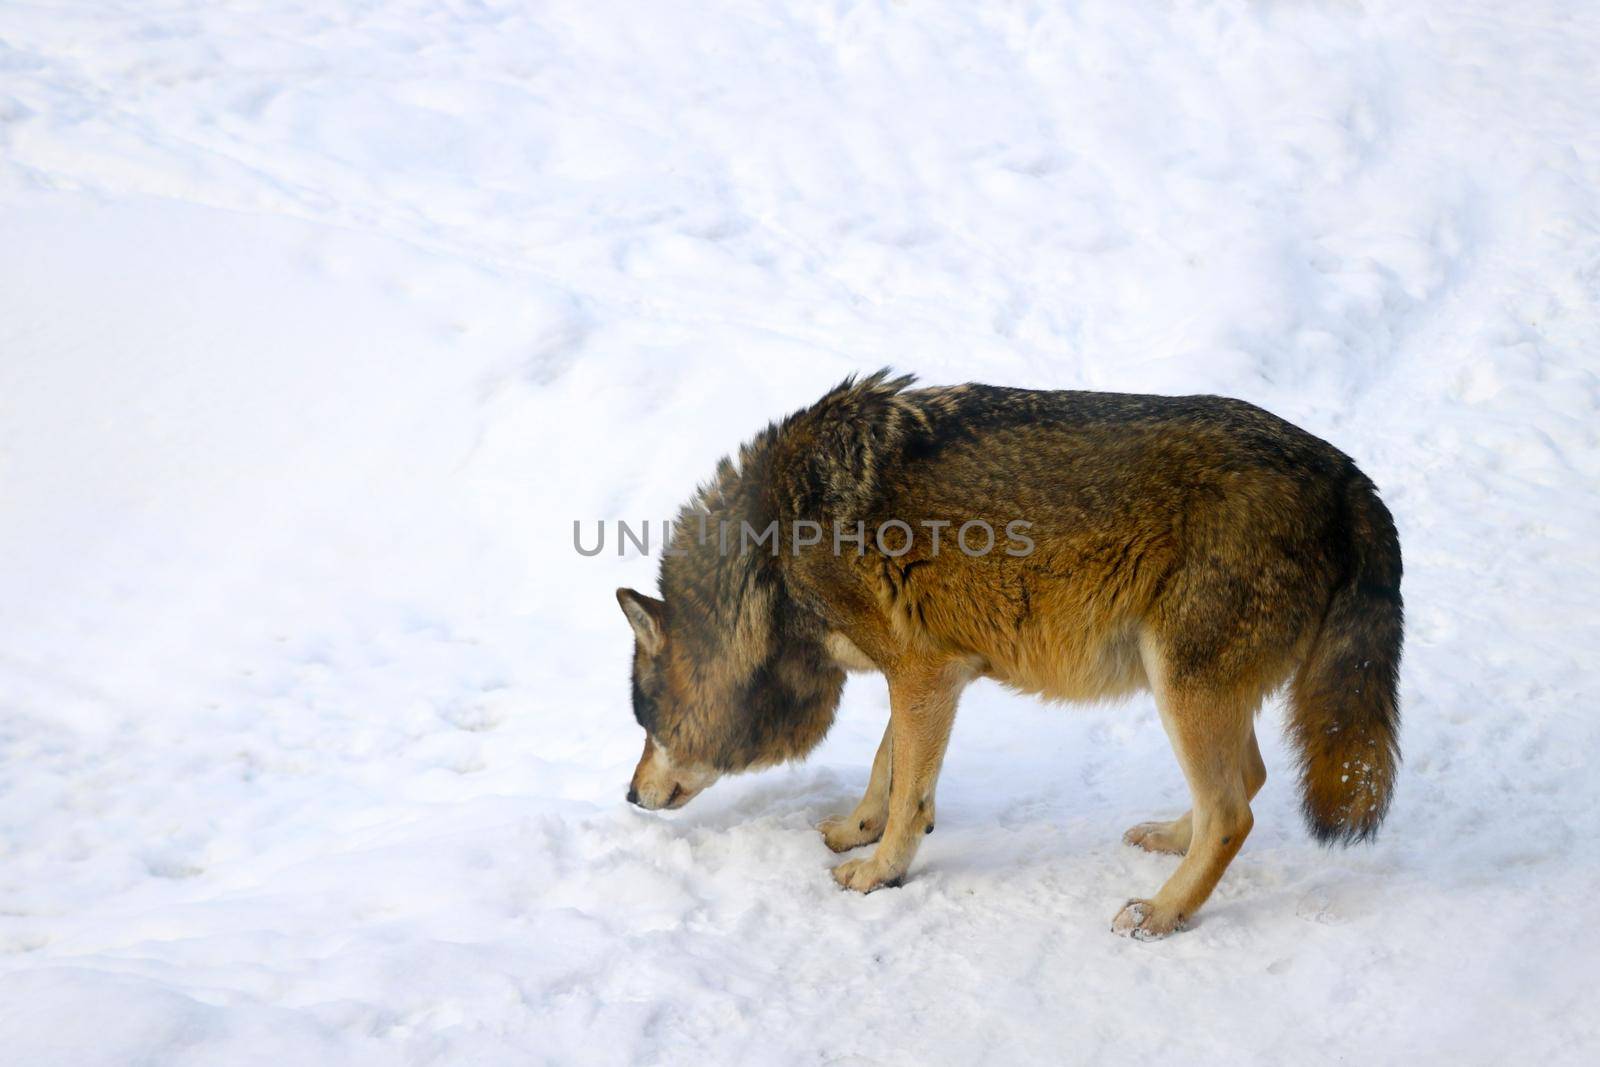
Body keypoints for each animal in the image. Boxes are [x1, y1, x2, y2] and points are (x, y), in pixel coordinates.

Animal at [611, 371, 1401, 940]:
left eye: (647, 722)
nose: (629, 795)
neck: (770, 559)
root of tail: (1349, 475)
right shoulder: (929, 672)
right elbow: (888, 768)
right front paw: (855, 832)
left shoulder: (922, 672)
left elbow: (907, 792)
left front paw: (878, 874)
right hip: (1189, 689)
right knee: (1247, 781)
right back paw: (1167, 840)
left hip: (1181, 686)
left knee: (1233, 813)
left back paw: (1159, 914)